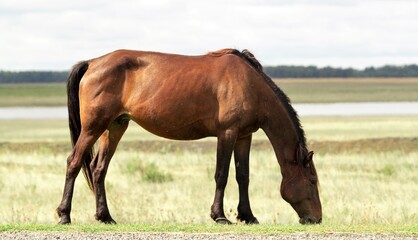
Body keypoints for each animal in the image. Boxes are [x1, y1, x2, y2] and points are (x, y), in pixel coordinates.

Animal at [57, 48, 322, 225]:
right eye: (311, 181)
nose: (317, 218)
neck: (250, 84)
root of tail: (92, 63)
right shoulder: (227, 133)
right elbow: (221, 175)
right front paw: (219, 216)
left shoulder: (244, 137)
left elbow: (243, 176)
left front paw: (248, 216)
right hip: (92, 128)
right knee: (73, 162)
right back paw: (64, 215)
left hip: (114, 127)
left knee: (99, 169)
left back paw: (105, 217)